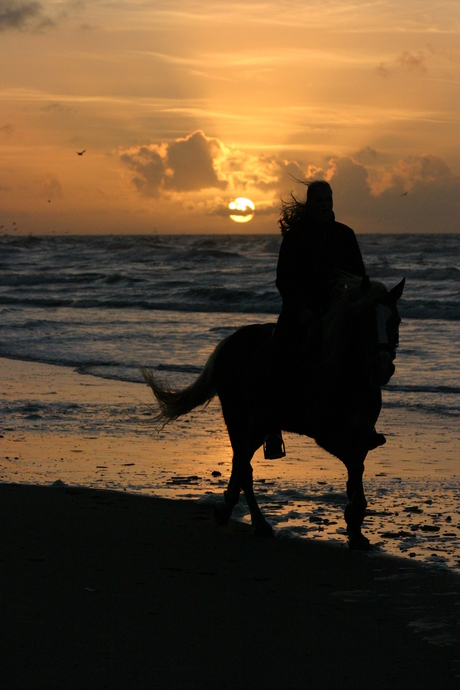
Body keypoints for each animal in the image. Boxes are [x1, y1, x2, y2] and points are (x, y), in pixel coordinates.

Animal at [142, 273, 405, 550]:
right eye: (365, 320)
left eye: (395, 320)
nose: (383, 367)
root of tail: (230, 342)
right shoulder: (328, 435)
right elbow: (353, 466)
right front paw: (353, 517)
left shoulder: (360, 436)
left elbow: (356, 471)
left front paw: (356, 529)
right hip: (240, 417)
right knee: (243, 465)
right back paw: (257, 522)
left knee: (240, 462)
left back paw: (226, 508)